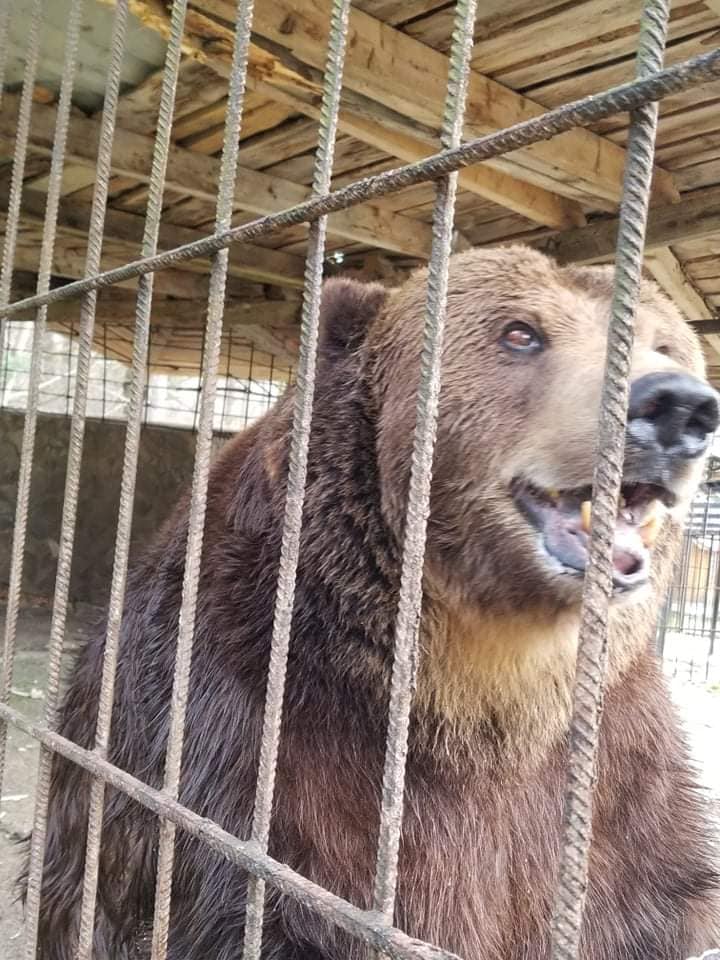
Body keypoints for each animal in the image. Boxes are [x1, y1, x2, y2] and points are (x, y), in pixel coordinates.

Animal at [29, 246, 720, 960]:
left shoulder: (616, 759)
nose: (677, 405)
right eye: (520, 333)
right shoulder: (239, 726)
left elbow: (661, 891)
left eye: (666, 343)